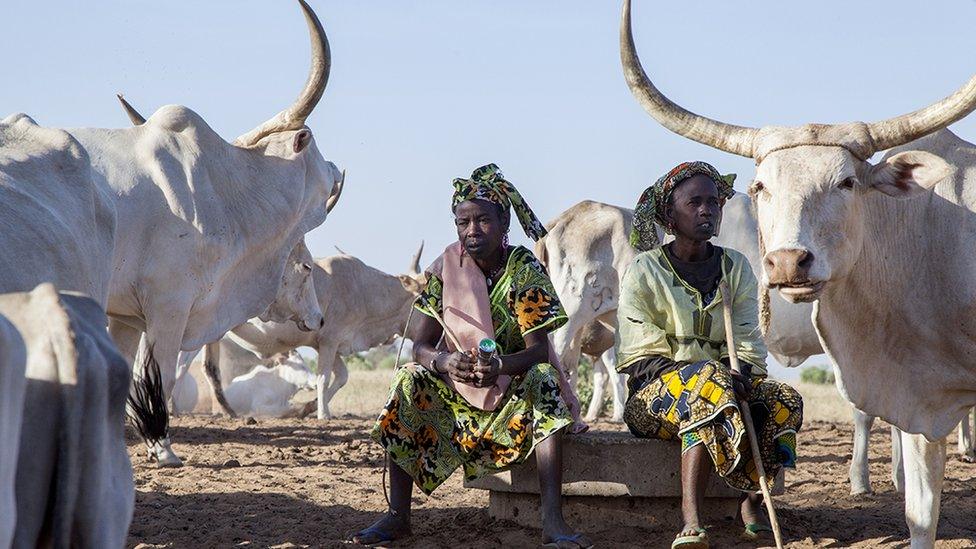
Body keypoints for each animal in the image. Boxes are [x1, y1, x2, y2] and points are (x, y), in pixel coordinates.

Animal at [61, 0, 344, 466]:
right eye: (305, 267)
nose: (319, 318)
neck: (222, 190)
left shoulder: (123, 317)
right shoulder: (168, 308)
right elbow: (159, 379)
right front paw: (162, 448)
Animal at [227, 242, 428, 418]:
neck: (363, 291)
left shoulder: (328, 344)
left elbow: (342, 377)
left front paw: (310, 407)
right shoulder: (329, 341)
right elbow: (323, 379)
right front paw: (323, 414)